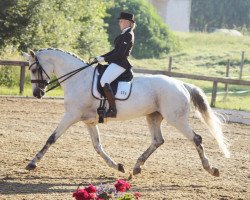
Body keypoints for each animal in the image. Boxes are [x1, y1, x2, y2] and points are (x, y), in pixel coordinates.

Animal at [22, 48, 229, 177]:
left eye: (34, 68)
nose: (37, 94)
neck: (78, 78)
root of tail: (181, 83)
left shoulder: (71, 115)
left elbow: (51, 138)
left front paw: (32, 163)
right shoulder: (89, 121)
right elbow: (98, 147)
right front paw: (118, 166)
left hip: (176, 119)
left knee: (196, 138)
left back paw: (211, 169)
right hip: (153, 117)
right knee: (158, 140)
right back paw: (136, 167)